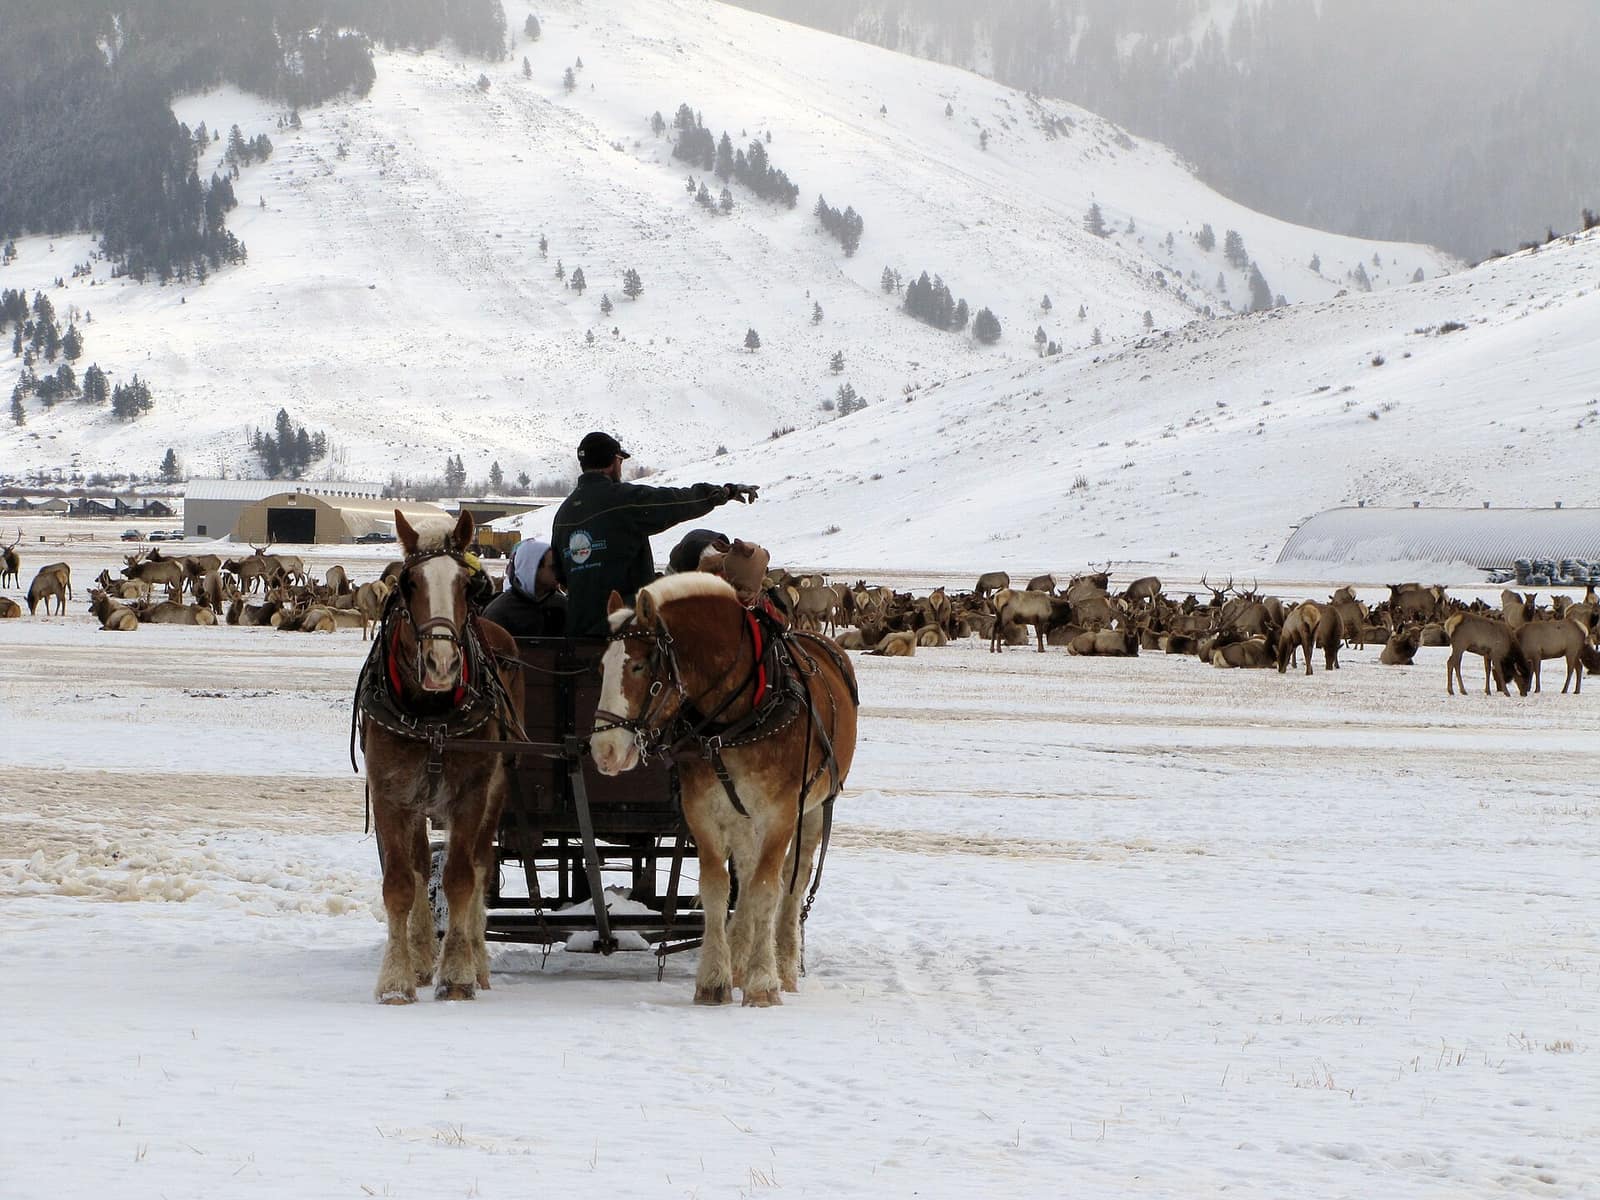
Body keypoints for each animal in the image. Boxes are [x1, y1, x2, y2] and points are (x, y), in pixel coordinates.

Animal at [354, 508, 524, 1004]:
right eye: (408, 583)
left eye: (467, 585)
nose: (442, 664)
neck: (431, 715)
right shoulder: (391, 795)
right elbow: (401, 883)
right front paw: (397, 978)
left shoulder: (470, 794)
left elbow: (461, 879)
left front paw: (458, 974)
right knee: (416, 866)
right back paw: (421, 952)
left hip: (496, 791)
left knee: (481, 867)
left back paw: (477, 960)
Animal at [592, 573, 859, 1007]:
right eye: (602, 666)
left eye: (638, 664)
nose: (605, 750)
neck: (738, 717)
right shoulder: (702, 810)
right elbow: (718, 889)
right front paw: (715, 978)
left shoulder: (781, 813)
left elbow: (768, 889)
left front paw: (764, 983)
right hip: (741, 817)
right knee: (746, 879)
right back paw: (739, 959)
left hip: (815, 809)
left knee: (794, 880)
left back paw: (784, 968)